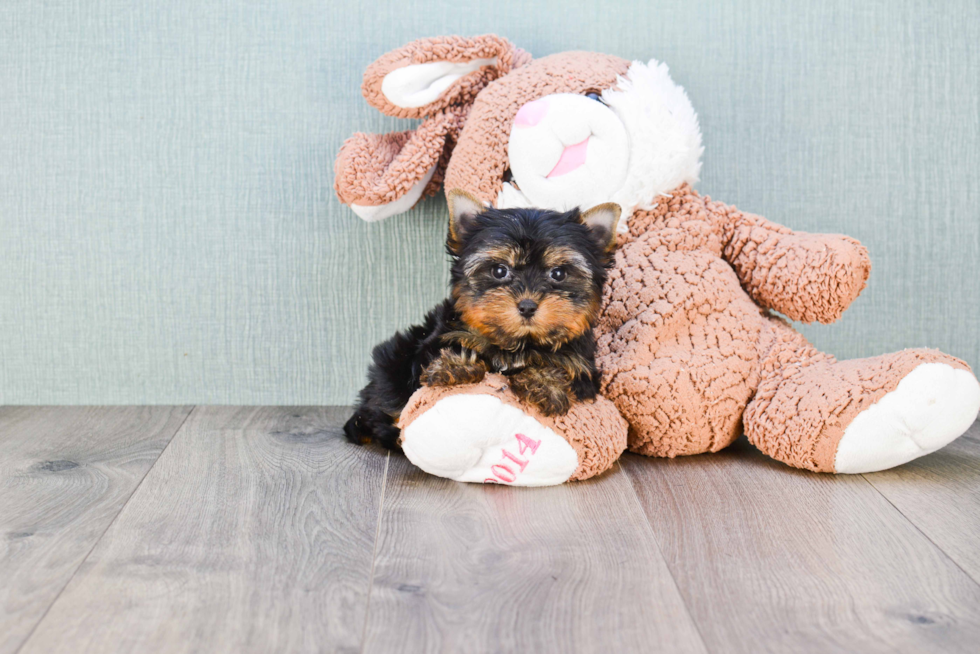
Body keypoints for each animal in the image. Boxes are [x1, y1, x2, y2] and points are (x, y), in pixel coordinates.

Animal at [344, 187, 620, 448]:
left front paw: (546, 385)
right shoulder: (439, 339)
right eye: (499, 271)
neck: (518, 343)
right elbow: (453, 353)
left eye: (559, 274)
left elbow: (557, 368)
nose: (527, 306)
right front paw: (456, 366)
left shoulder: (582, 367)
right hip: (392, 362)